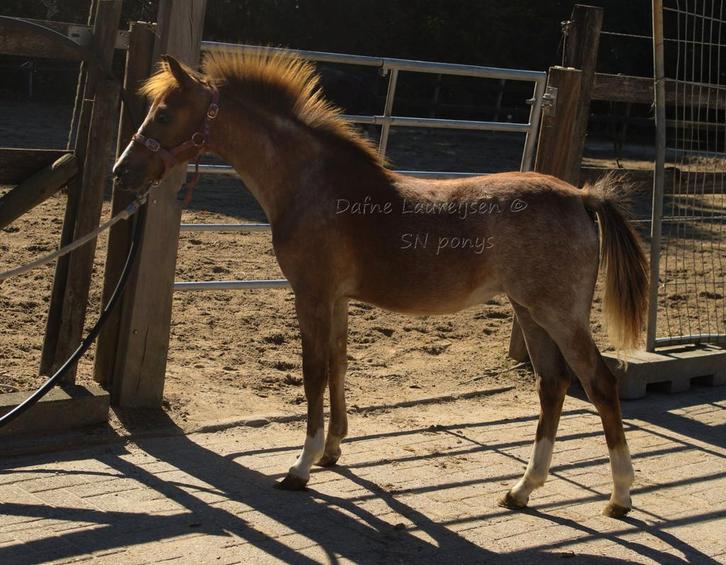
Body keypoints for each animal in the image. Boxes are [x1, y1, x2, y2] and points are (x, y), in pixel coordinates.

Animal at [112, 50, 649, 518]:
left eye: (164, 113)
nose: (123, 173)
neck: (314, 184)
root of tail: (581, 196)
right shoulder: (338, 300)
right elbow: (338, 364)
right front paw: (331, 451)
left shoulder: (311, 295)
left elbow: (313, 372)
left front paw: (300, 468)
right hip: (529, 311)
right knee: (552, 385)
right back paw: (521, 490)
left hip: (559, 314)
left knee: (599, 383)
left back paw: (620, 496)